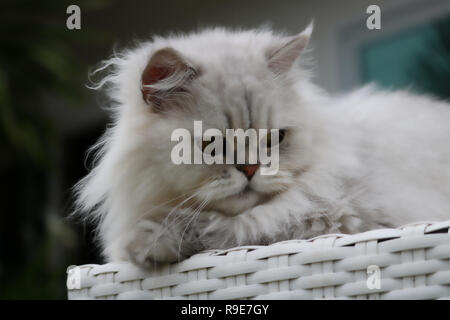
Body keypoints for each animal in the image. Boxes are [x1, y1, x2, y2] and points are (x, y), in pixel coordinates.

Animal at [74, 23, 450, 268]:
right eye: (212, 144)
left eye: (274, 139)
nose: (251, 169)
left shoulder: (327, 216)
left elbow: (235, 228)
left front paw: (149, 242)